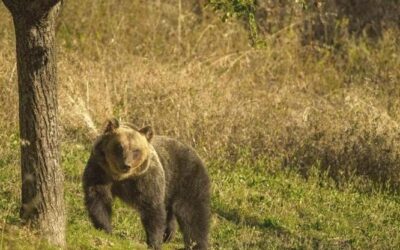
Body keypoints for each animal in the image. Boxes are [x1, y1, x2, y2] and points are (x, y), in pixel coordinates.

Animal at [83, 119, 211, 250]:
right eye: (119, 146)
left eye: (136, 150)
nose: (126, 165)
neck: (121, 177)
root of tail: (193, 150)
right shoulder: (100, 171)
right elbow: (99, 198)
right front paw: (105, 228)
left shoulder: (147, 178)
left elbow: (152, 208)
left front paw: (154, 242)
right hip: (169, 188)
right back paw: (168, 235)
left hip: (186, 177)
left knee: (192, 212)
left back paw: (196, 243)